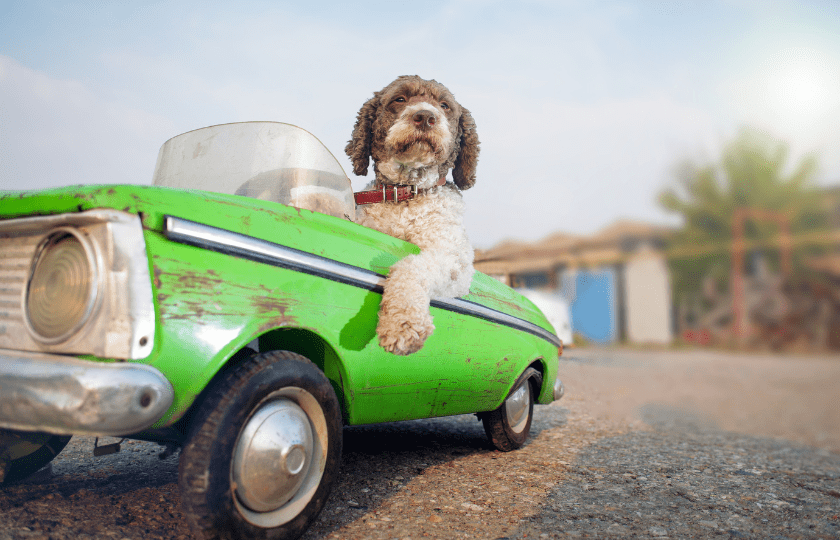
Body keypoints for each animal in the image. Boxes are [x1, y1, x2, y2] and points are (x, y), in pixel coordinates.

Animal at [346, 75, 480, 354]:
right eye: (400, 99)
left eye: (444, 105)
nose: (425, 116)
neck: (406, 195)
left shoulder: (454, 261)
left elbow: (411, 265)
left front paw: (402, 324)